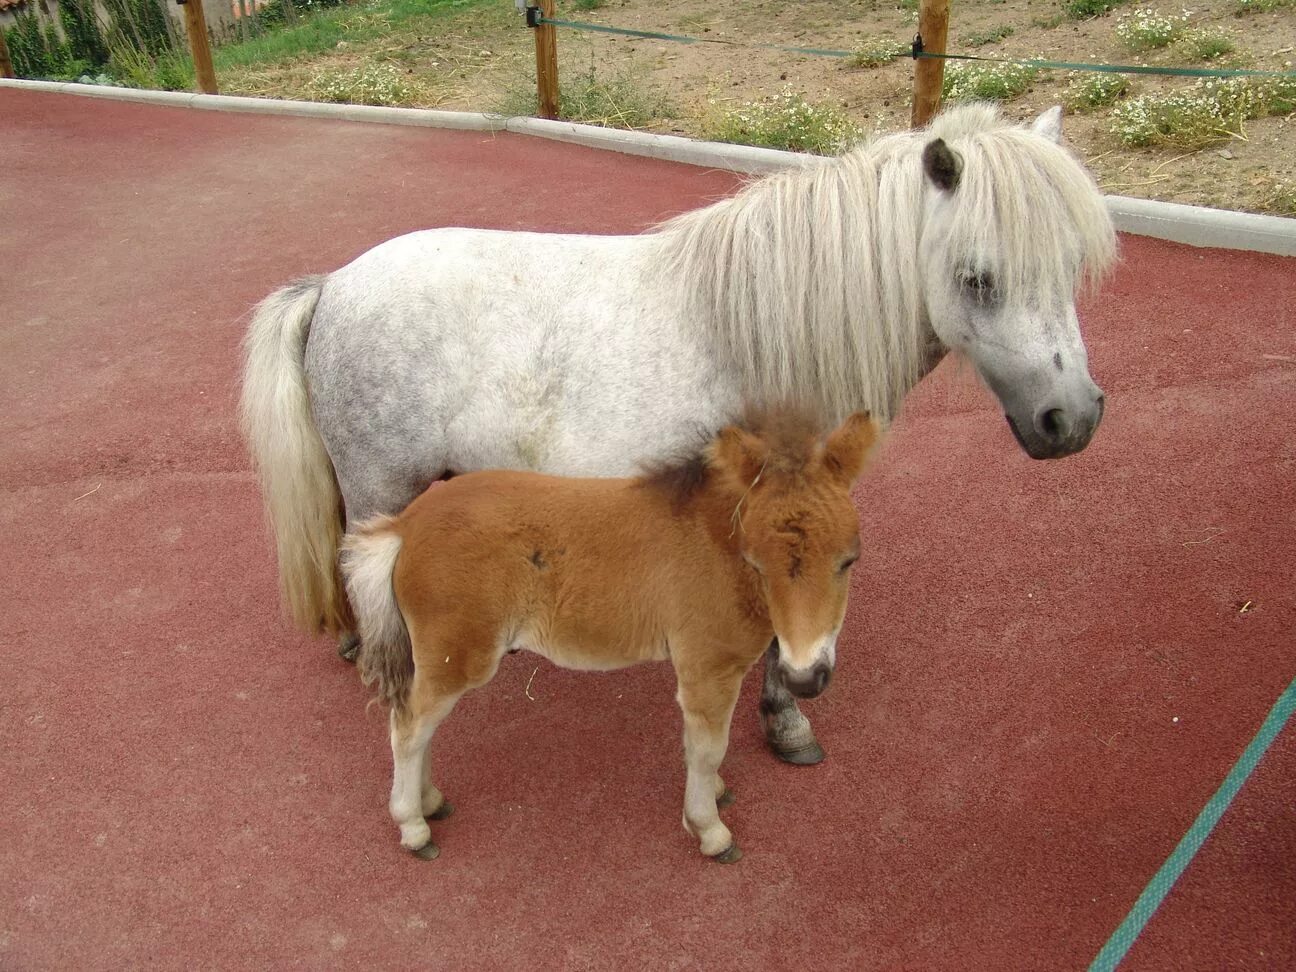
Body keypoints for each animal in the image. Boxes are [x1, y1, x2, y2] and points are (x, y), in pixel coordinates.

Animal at [241, 103, 1114, 767]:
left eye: (1072, 264)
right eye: (978, 278)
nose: (1070, 420)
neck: (783, 325)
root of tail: (332, 287)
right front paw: (787, 722)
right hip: (381, 487)